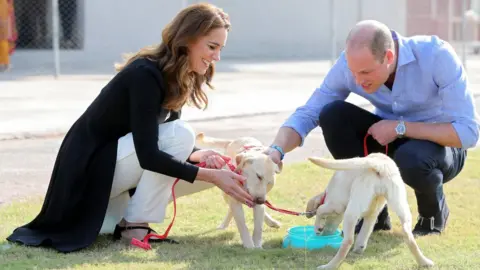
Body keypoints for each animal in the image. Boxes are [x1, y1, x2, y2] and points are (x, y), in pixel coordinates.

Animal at [308, 153, 436, 268]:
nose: (325, 234)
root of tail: (380, 164)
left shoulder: (336, 205)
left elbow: (320, 210)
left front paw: (317, 227)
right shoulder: (371, 215)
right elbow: (364, 234)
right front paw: (359, 248)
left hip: (351, 212)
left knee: (348, 241)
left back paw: (328, 266)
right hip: (401, 205)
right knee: (409, 237)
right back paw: (424, 262)